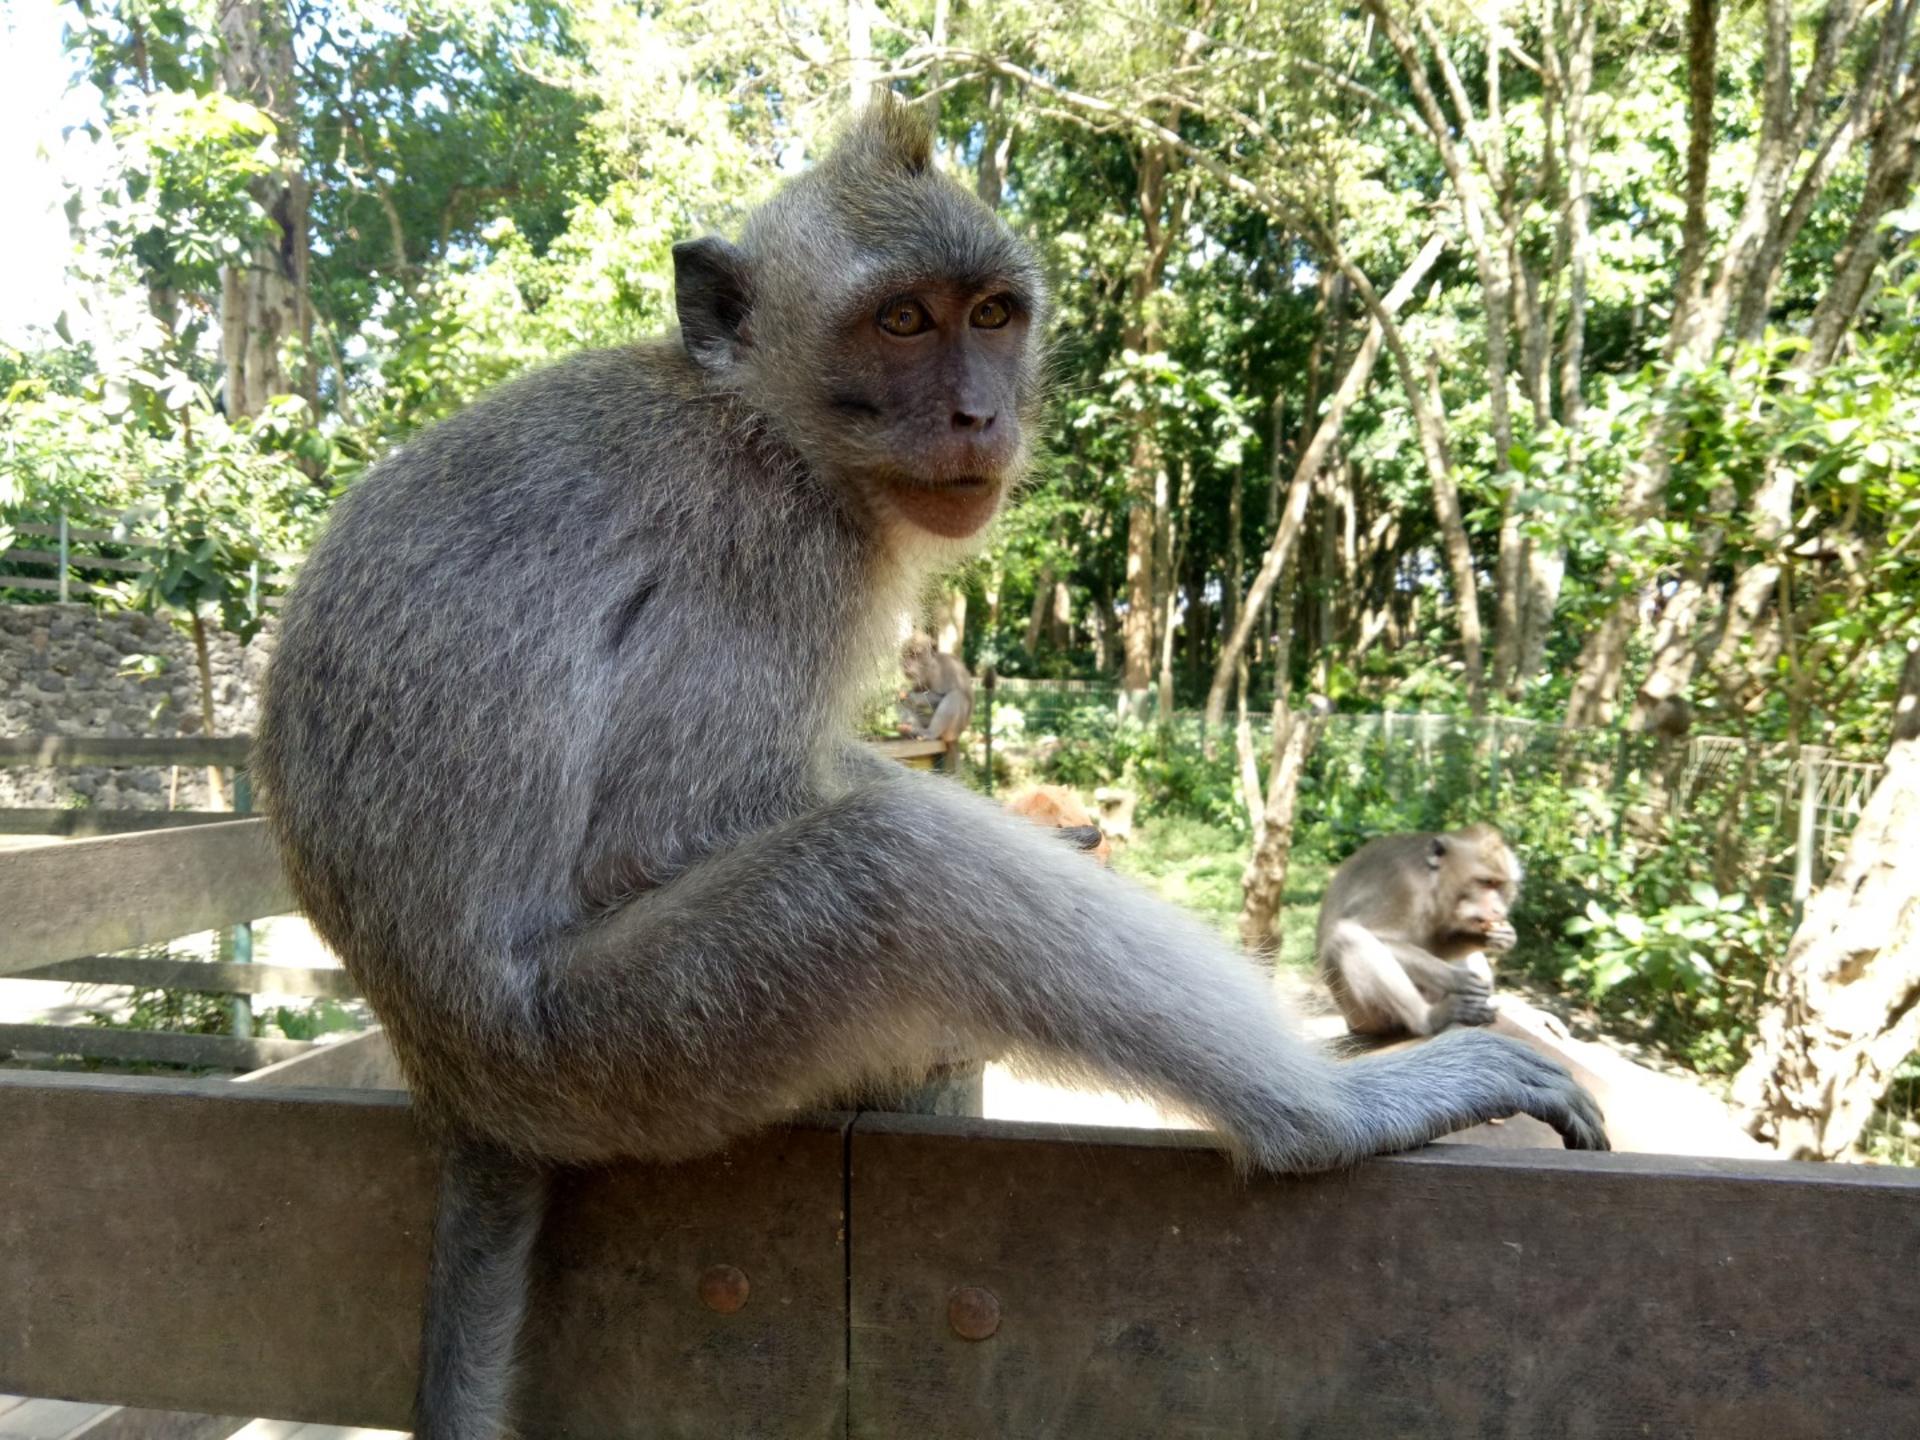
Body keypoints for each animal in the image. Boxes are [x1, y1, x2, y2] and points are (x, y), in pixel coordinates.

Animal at [1317, 822, 1523, 1038]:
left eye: (1500, 885)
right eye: (1486, 882)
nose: (1498, 910)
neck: (1432, 882)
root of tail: (1351, 1025)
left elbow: (1440, 941)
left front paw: (1497, 937)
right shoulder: (1404, 887)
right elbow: (1380, 937)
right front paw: (1455, 979)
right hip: (1362, 1017)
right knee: (1346, 936)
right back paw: (1429, 1019)